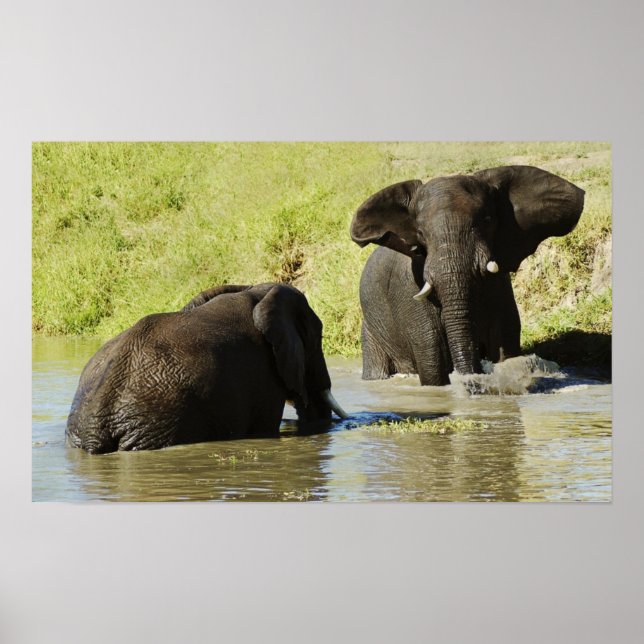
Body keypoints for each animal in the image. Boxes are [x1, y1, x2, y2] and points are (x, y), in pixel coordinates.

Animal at [350, 165, 585, 386]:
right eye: (421, 234)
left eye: (487, 220)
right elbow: (432, 360)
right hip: (372, 332)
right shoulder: (409, 289)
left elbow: (504, 344)